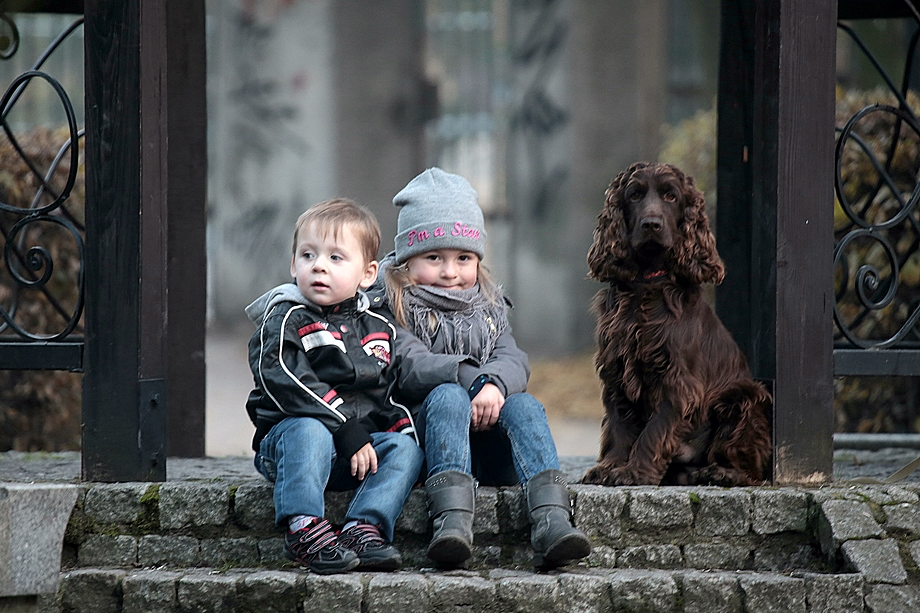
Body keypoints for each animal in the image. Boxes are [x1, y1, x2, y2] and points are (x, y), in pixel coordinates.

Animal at [584, 163, 768, 488]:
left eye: (671, 196)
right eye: (634, 195)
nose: (651, 224)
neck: (646, 283)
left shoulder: (677, 381)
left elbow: (654, 430)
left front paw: (634, 472)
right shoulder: (616, 371)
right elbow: (619, 425)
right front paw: (610, 466)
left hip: (744, 398)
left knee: (752, 472)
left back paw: (720, 472)